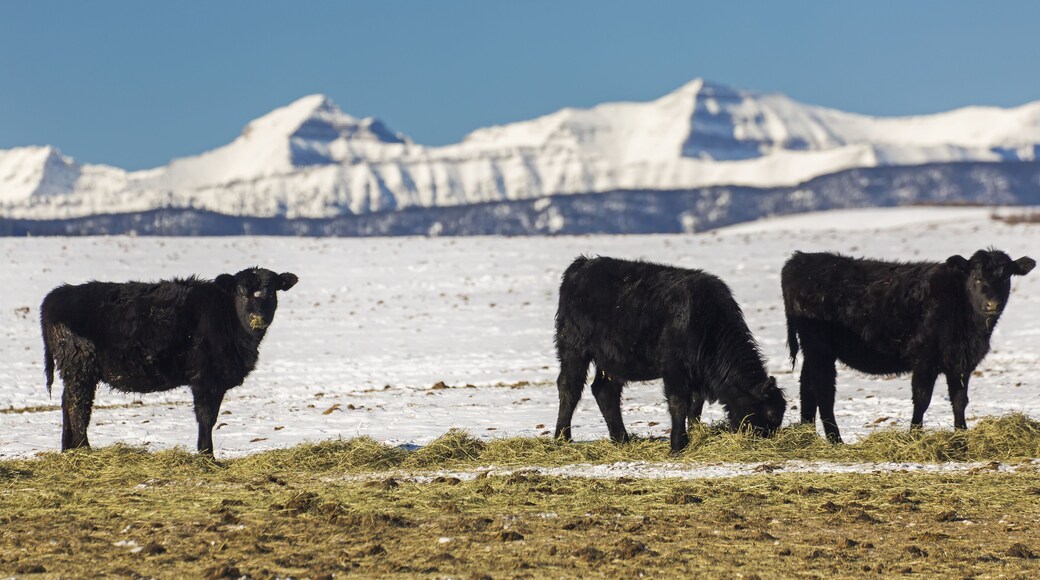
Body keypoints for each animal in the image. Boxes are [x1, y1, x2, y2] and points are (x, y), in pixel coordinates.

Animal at [41, 267, 298, 455]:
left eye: (272, 292)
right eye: (242, 292)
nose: (258, 318)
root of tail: (57, 295)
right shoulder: (205, 379)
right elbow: (206, 417)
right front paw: (207, 454)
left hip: (74, 371)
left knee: (67, 403)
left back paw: (68, 449)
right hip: (80, 366)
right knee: (77, 406)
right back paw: (84, 448)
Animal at [553, 256, 786, 453]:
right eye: (768, 413)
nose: (764, 440)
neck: (704, 319)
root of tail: (582, 265)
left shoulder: (696, 376)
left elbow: (695, 406)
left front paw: (694, 434)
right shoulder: (674, 369)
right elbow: (678, 404)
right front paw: (677, 445)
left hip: (611, 362)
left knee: (605, 391)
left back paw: (621, 439)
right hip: (573, 349)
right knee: (569, 387)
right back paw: (562, 438)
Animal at [782, 249, 1034, 443]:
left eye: (1006, 277)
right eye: (977, 277)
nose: (993, 304)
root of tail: (800, 259)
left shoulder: (961, 364)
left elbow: (960, 400)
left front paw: (961, 434)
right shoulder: (925, 360)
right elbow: (922, 399)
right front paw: (914, 434)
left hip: (814, 350)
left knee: (807, 386)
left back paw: (808, 435)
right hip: (819, 348)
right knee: (824, 390)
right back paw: (836, 440)